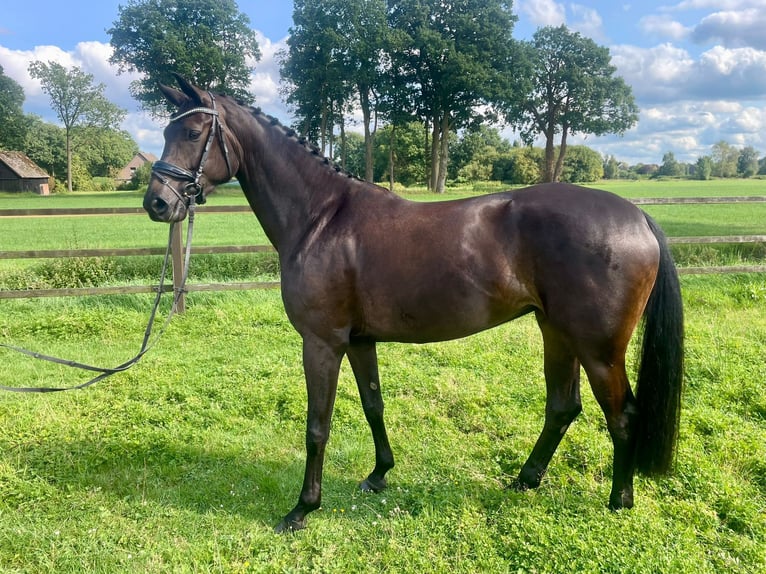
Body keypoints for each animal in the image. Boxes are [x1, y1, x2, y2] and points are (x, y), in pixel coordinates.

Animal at [142, 76, 684, 536]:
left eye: (192, 132)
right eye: (167, 130)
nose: (156, 204)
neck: (320, 217)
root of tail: (637, 216)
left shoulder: (321, 343)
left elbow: (317, 425)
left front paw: (302, 508)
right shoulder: (359, 341)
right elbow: (373, 405)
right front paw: (379, 474)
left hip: (599, 349)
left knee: (622, 415)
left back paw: (619, 500)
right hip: (556, 332)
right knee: (562, 407)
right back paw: (524, 480)